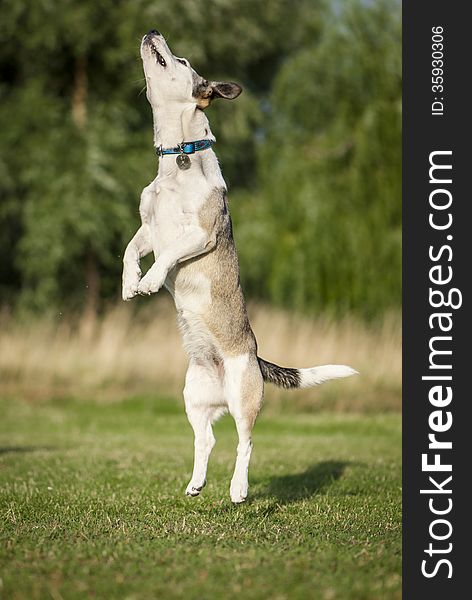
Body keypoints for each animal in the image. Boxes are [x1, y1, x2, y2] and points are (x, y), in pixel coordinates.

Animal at [122, 30, 358, 504]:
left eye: (181, 60)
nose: (152, 32)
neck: (178, 156)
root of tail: (252, 358)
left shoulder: (199, 232)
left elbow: (168, 255)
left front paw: (151, 280)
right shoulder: (148, 229)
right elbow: (129, 251)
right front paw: (129, 283)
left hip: (245, 398)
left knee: (245, 442)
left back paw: (239, 488)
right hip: (193, 397)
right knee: (207, 439)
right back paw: (196, 483)